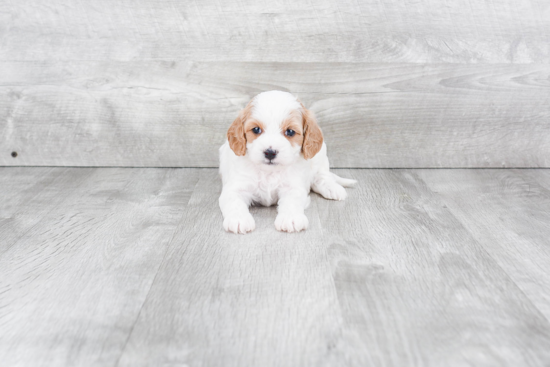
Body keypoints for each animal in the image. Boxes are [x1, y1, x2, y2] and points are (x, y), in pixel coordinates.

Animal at [220, 91, 358, 234]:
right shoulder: (236, 187)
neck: (269, 172)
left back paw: (332, 188)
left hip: (320, 155)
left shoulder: (293, 187)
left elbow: (292, 202)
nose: (270, 152)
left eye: (290, 131)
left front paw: (290, 218)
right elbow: (234, 202)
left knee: (322, 176)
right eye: (256, 130)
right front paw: (238, 219)